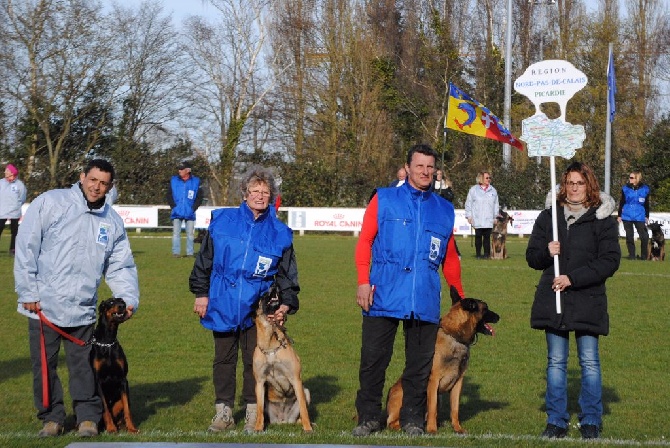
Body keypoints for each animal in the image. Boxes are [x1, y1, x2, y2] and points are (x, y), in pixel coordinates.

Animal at [91, 300, 138, 432]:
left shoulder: (123, 379)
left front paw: (131, 428)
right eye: (111, 302)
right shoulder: (98, 381)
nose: (122, 306)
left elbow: (127, 408)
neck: (107, 341)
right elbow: (105, 408)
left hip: (118, 402)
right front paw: (111, 428)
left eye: (122, 301)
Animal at [253, 286, 314, 432]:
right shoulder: (259, 382)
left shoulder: (296, 379)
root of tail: (283, 420)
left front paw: (308, 429)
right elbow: (259, 410)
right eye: (264, 294)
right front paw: (257, 428)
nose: (275, 286)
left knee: (300, 414)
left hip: (306, 392)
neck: (270, 343)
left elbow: (303, 409)